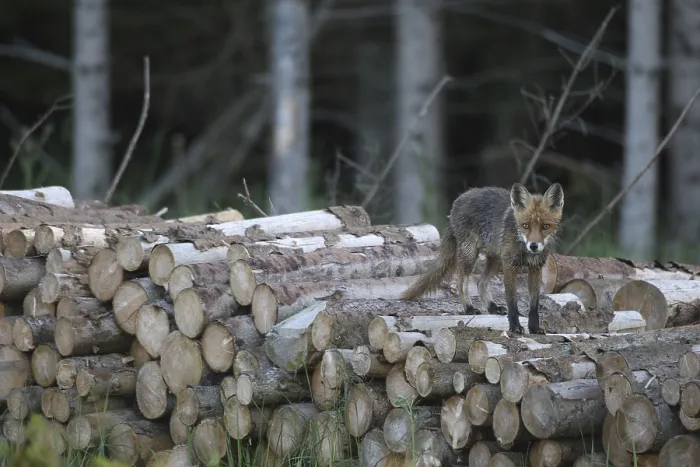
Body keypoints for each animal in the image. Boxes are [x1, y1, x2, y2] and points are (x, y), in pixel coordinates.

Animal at [399, 182, 564, 335]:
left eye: (545, 226)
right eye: (525, 226)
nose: (534, 246)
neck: (524, 249)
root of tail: (459, 198)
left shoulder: (536, 268)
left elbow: (534, 304)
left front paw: (534, 328)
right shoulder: (510, 265)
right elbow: (512, 300)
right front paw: (515, 327)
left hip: (496, 259)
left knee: (481, 282)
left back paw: (492, 307)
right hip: (470, 255)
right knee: (461, 283)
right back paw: (469, 308)